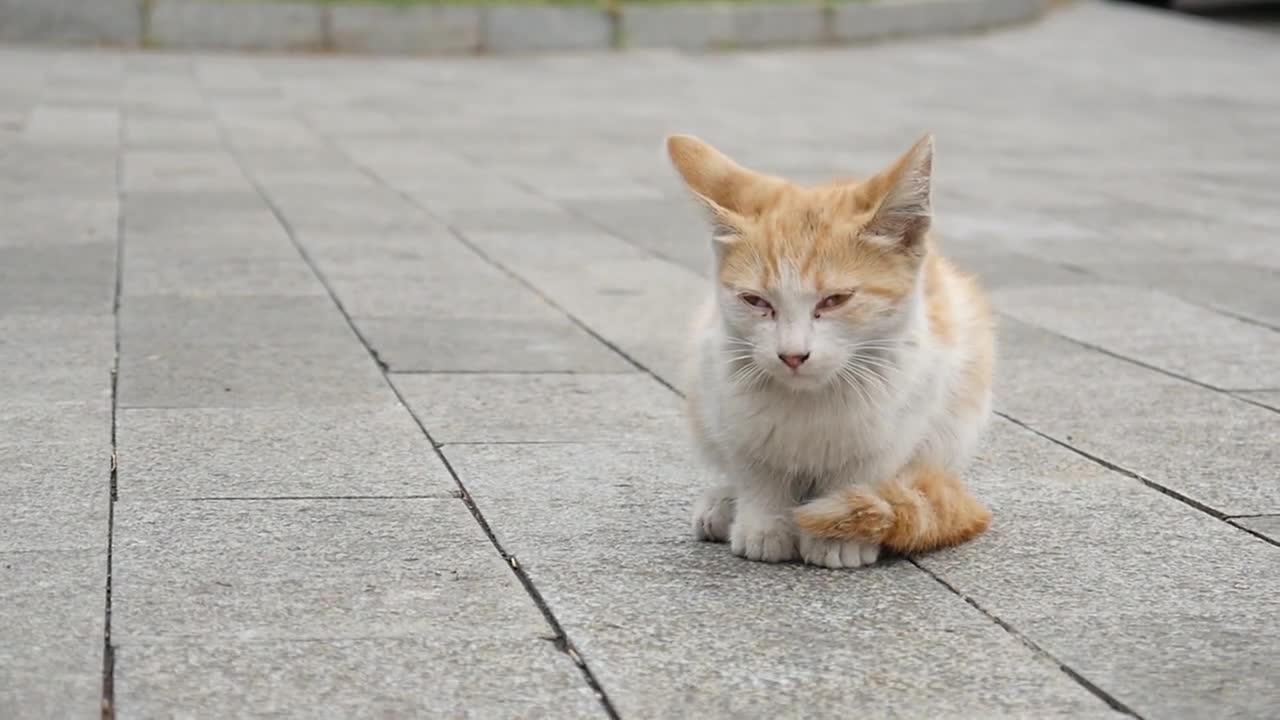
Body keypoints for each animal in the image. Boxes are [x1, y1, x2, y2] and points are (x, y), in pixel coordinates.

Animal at [670, 130, 998, 566]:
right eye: (755, 301)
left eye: (835, 300)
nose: (792, 355)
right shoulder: (723, 392)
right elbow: (757, 468)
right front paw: (764, 523)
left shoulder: (905, 411)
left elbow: (860, 470)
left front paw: (841, 532)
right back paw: (723, 504)